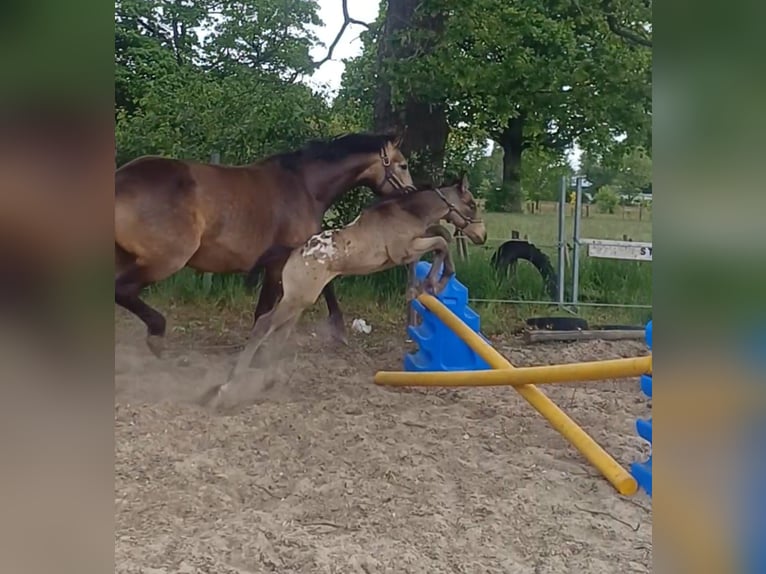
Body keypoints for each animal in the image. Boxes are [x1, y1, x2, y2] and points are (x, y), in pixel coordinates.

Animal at [115, 132, 414, 357]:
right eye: (403, 165)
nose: (411, 194)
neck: (305, 186)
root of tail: (121, 179)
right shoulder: (279, 261)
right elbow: (265, 311)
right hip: (165, 260)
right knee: (123, 290)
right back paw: (157, 334)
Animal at [200, 173, 487, 407]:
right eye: (471, 204)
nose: (482, 236)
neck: (406, 212)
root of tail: (292, 252)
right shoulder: (404, 251)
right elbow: (441, 242)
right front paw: (435, 282)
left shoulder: (415, 244)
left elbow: (441, 236)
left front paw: (428, 283)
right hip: (295, 300)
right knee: (263, 325)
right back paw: (227, 388)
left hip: (298, 302)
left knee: (279, 333)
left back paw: (265, 381)